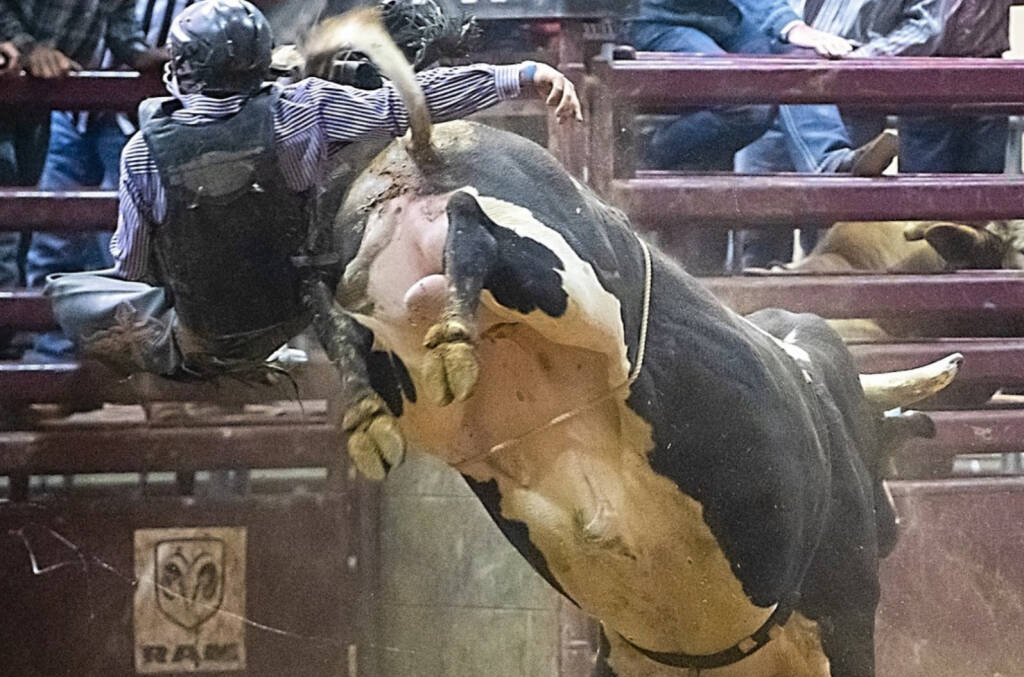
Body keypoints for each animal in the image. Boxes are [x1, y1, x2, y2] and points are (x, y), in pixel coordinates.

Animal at [296, 11, 958, 675]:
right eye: (878, 453)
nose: (891, 525)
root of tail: (424, 148)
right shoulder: (848, 616)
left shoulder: (621, 651)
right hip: (572, 289)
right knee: (471, 225)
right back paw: (456, 335)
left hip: (402, 354)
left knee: (340, 306)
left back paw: (373, 408)